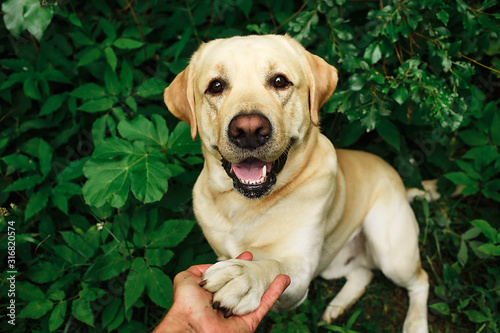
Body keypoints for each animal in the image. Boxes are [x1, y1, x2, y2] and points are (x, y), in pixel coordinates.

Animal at [165, 34, 430, 332]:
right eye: (216, 86)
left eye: (280, 81)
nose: (248, 130)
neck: (244, 207)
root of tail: (401, 183)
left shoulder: (300, 272)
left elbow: (275, 265)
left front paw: (245, 277)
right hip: (337, 265)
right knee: (363, 274)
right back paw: (336, 308)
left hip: (391, 251)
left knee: (420, 280)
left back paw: (415, 324)